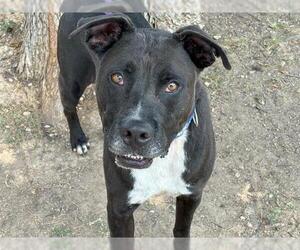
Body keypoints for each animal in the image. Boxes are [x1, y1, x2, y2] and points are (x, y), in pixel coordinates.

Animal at [57, 12, 231, 238]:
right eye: (117, 77)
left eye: (172, 86)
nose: (135, 132)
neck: (162, 160)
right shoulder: (119, 208)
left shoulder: (191, 195)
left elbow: (181, 229)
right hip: (72, 81)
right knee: (68, 106)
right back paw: (78, 139)